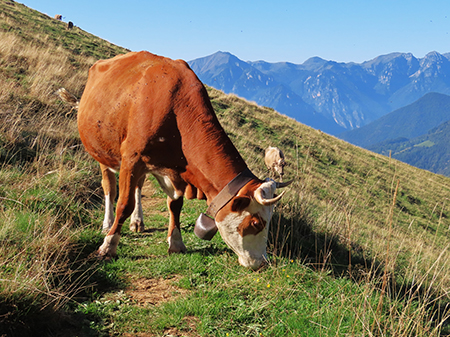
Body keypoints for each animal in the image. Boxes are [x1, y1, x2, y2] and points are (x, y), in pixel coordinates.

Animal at [71, 51, 290, 270]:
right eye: (256, 223)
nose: (262, 263)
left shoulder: (174, 171)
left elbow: (175, 205)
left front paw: (176, 242)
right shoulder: (132, 160)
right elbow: (124, 204)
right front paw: (108, 247)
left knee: (138, 187)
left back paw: (137, 221)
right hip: (103, 152)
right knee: (109, 187)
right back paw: (107, 225)